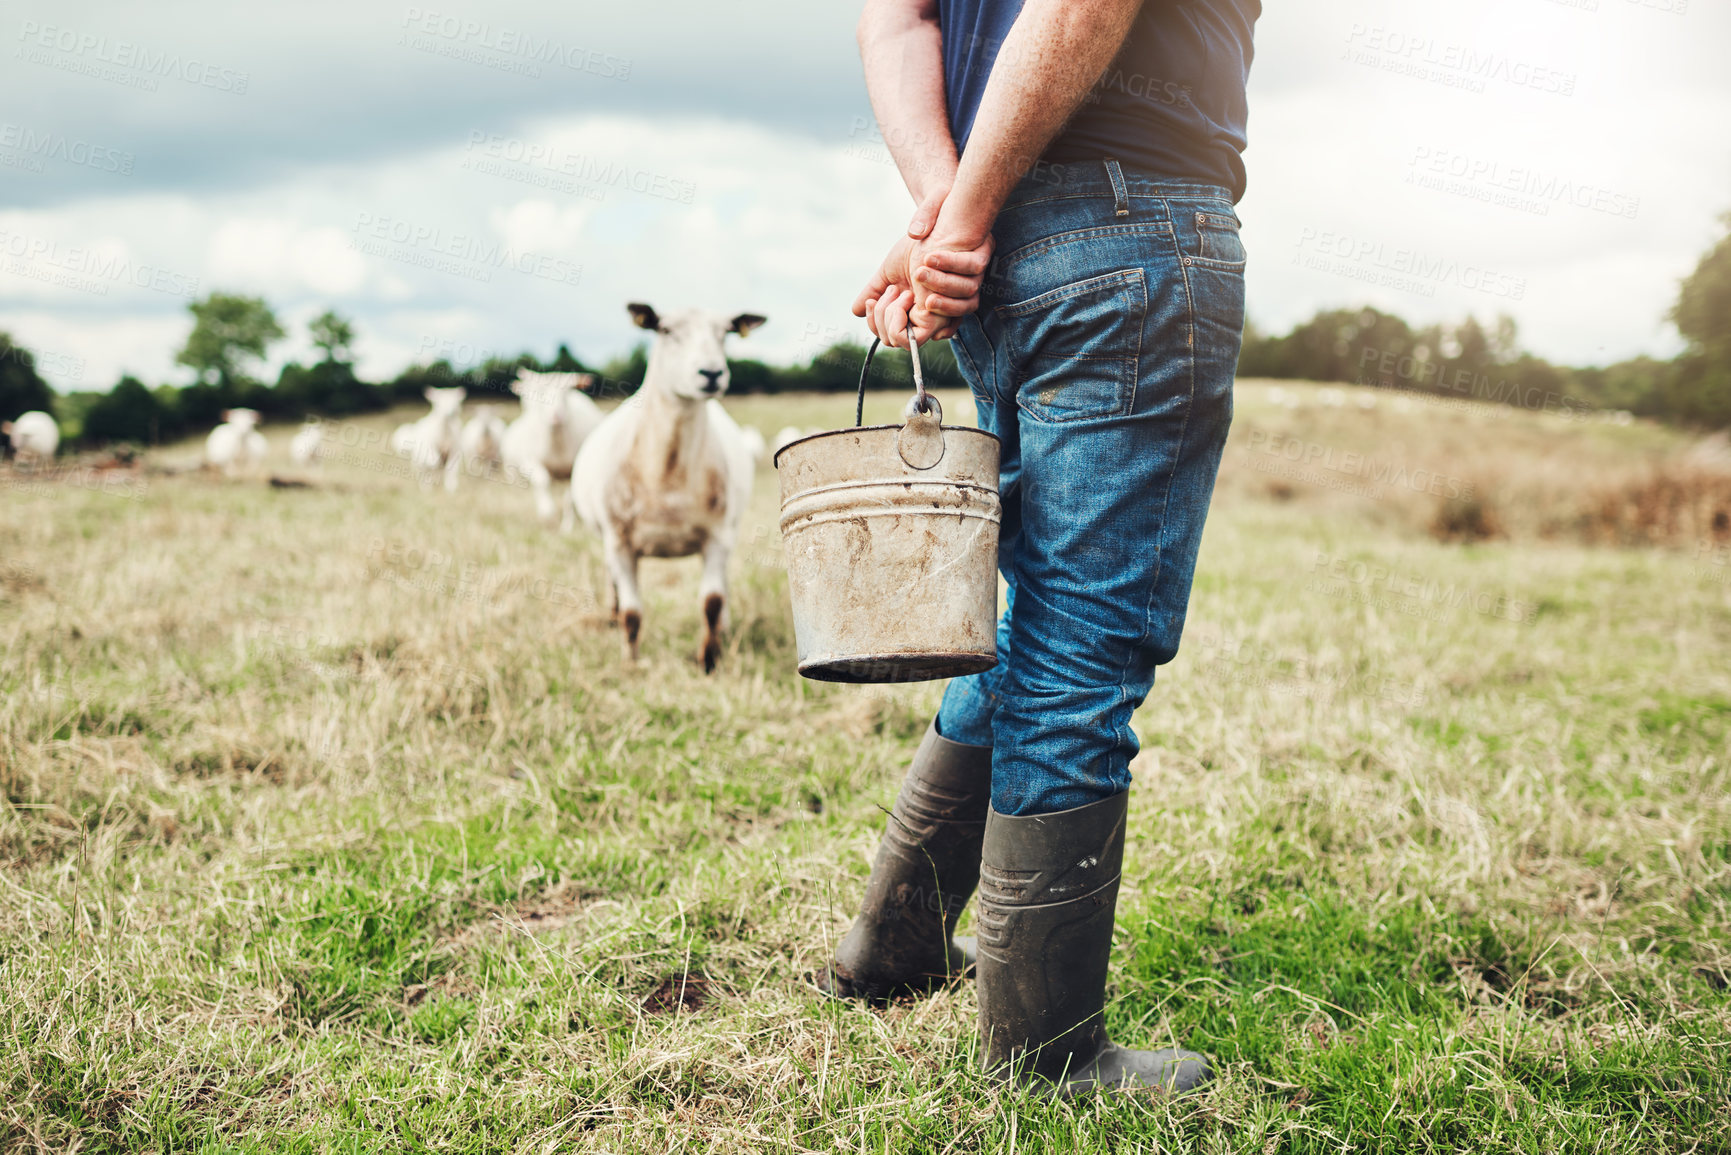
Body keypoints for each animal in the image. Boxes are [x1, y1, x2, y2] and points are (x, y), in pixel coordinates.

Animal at [574, 303, 765, 671]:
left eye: (725, 333)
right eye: (665, 330)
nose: (711, 373)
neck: (667, 475)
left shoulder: (716, 535)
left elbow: (711, 602)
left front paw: (708, 660)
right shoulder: (619, 541)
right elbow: (632, 614)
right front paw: (631, 663)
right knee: (611, 579)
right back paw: (611, 614)